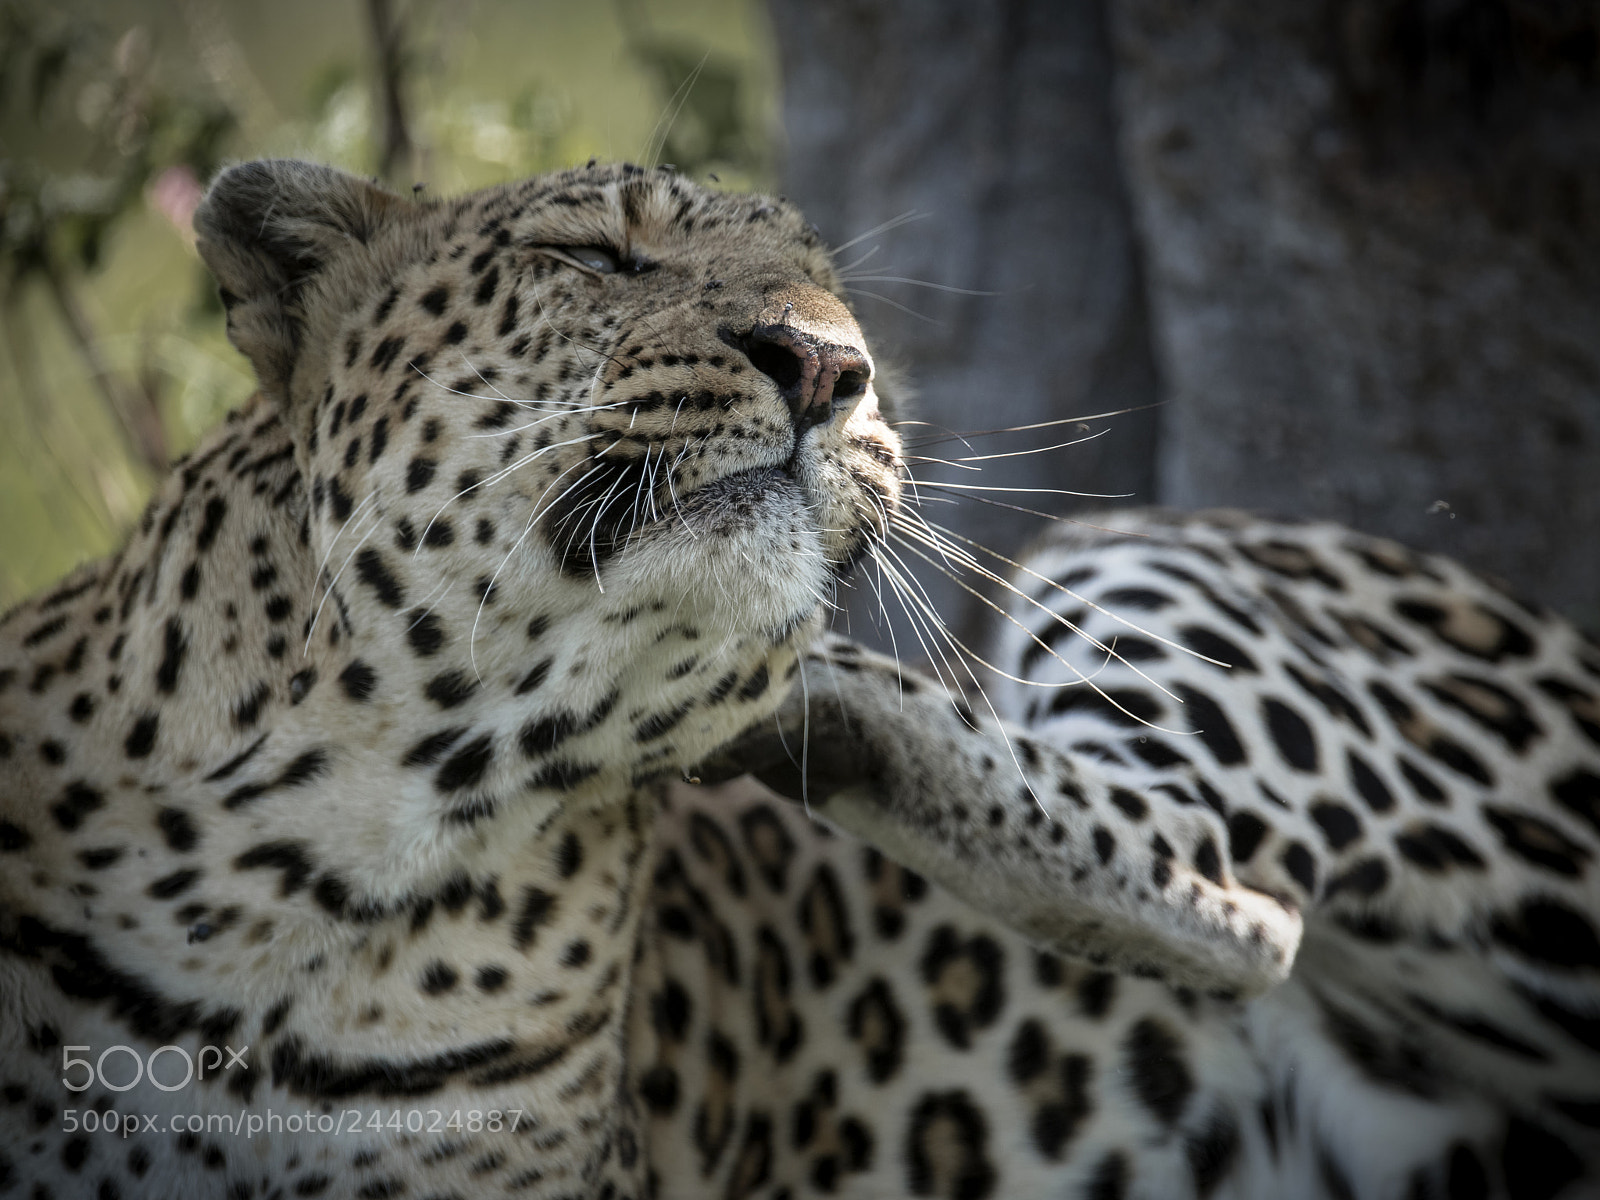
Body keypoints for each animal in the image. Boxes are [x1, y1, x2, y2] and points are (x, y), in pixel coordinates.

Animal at [0, 157, 1596, 1200]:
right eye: (596, 258)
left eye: (834, 295)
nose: (829, 367)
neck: (329, 884)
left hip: (1152, 562)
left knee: (1233, 884)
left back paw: (812, 710)